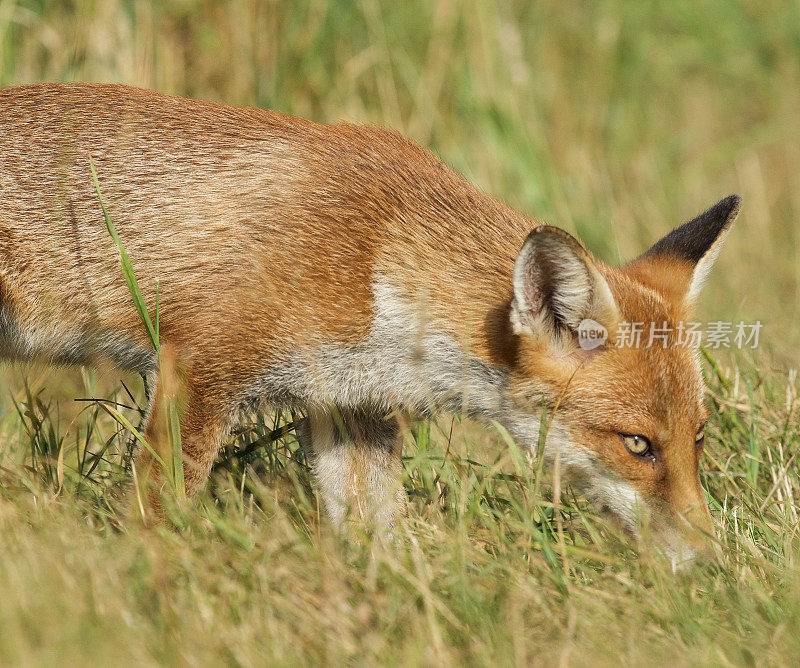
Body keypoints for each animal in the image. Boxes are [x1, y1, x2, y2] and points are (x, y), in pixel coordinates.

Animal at [0, 82, 736, 552]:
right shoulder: (200, 370)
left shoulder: (349, 411)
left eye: (698, 437)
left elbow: (383, 548)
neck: (377, 261)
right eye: (636, 445)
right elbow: (156, 518)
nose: (710, 565)